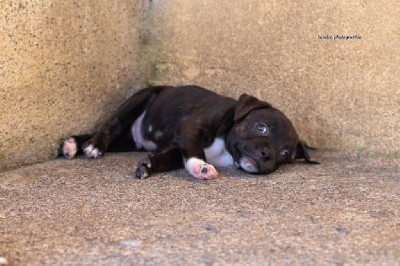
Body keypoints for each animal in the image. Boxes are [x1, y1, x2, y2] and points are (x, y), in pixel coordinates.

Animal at [60, 86, 318, 180]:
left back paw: (74, 143)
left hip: (130, 142)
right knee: (111, 124)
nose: (266, 154)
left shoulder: (178, 145)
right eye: (261, 127)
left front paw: (149, 166)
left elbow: (169, 158)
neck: (225, 149)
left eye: (285, 155)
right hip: (137, 100)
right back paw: (93, 146)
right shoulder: (191, 130)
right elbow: (194, 151)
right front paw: (201, 167)